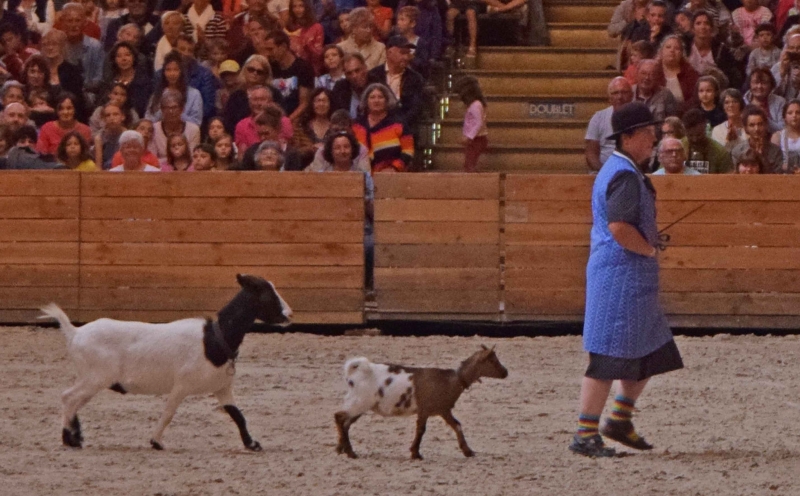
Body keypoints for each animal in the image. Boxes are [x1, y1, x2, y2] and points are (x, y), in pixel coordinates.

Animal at [40, 274, 290, 452]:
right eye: (267, 293)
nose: (289, 314)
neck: (213, 338)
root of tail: (75, 332)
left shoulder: (222, 388)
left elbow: (237, 415)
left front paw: (252, 444)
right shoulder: (181, 386)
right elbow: (169, 413)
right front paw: (156, 442)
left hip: (92, 380)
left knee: (74, 401)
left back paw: (75, 436)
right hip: (95, 378)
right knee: (68, 397)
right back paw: (69, 439)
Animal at [334, 346, 510, 460]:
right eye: (492, 360)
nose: (505, 372)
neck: (452, 380)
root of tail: (354, 373)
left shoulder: (443, 410)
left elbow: (457, 426)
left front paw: (468, 451)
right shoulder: (426, 410)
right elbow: (421, 430)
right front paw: (416, 454)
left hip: (360, 404)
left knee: (346, 423)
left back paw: (342, 448)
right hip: (359, 402)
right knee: (339, 417)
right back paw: (350, 452)